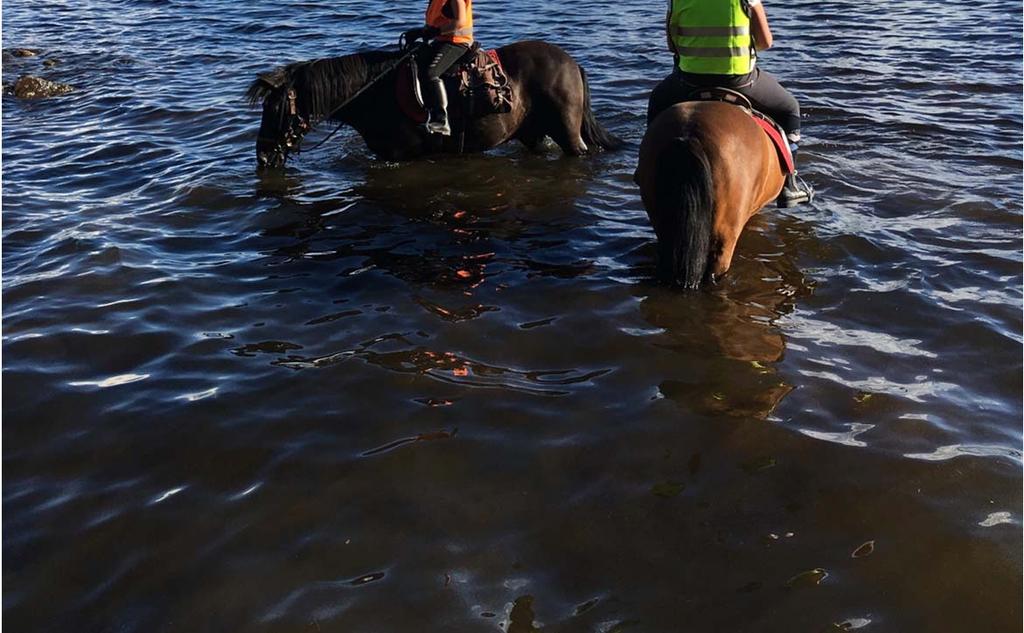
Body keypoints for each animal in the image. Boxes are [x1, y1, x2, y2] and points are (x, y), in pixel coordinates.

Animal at [245, 39, 622, 167]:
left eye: (274, 109)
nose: (262, 156)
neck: (372, 93)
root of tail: (571, 63)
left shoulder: (401, 156)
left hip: (569, 135)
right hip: (533, 134)